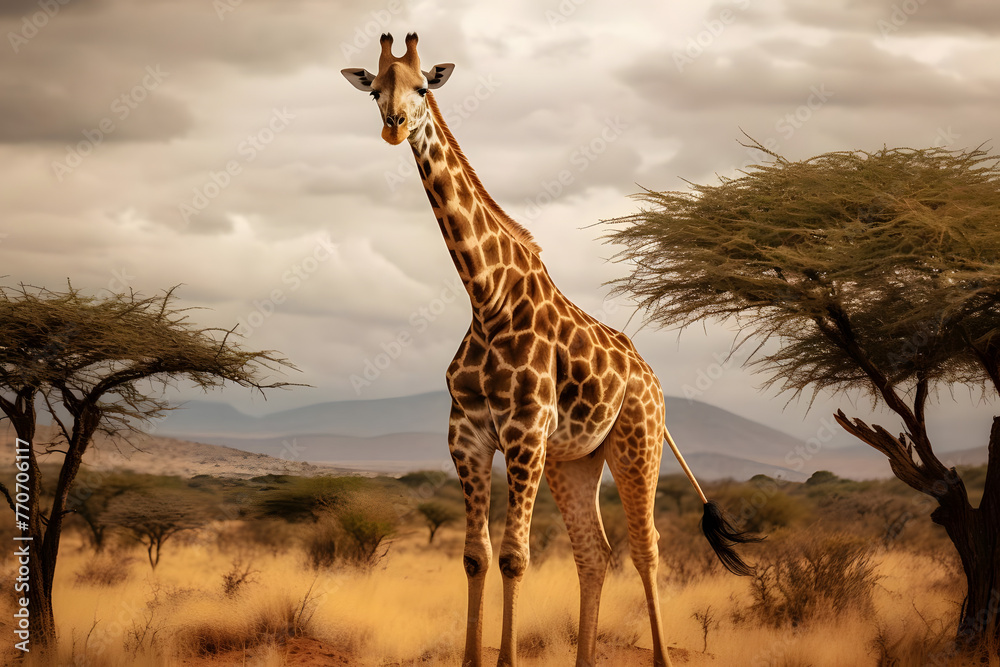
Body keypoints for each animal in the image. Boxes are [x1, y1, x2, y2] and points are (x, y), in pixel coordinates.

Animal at [342, 33, 759, 667]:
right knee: (596, 551)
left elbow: (515, 556)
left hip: (636, 443)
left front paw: (505, 661)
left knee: (646, 546)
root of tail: (653, 380)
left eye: (422, 87)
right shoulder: (467, 434)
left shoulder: (524, 431)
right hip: (575, 459)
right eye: (375, 89)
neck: (487, 299)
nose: (395, 126)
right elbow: (476, 555)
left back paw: (662, 654)